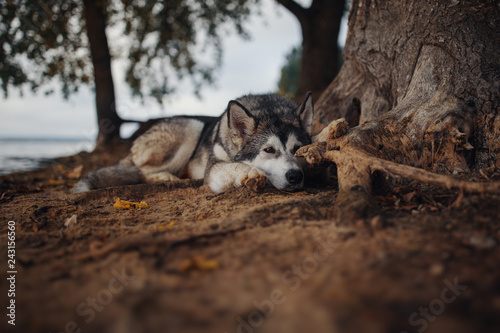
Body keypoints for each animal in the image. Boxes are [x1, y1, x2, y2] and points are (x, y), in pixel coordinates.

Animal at [75, 92, 312, 193]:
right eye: (269, 150)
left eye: (298, 149)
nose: (295, 176)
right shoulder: (213, 169)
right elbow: (234, 165)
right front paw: (251, 173)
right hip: (192, 127)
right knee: (141, 170)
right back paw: (166, 176)